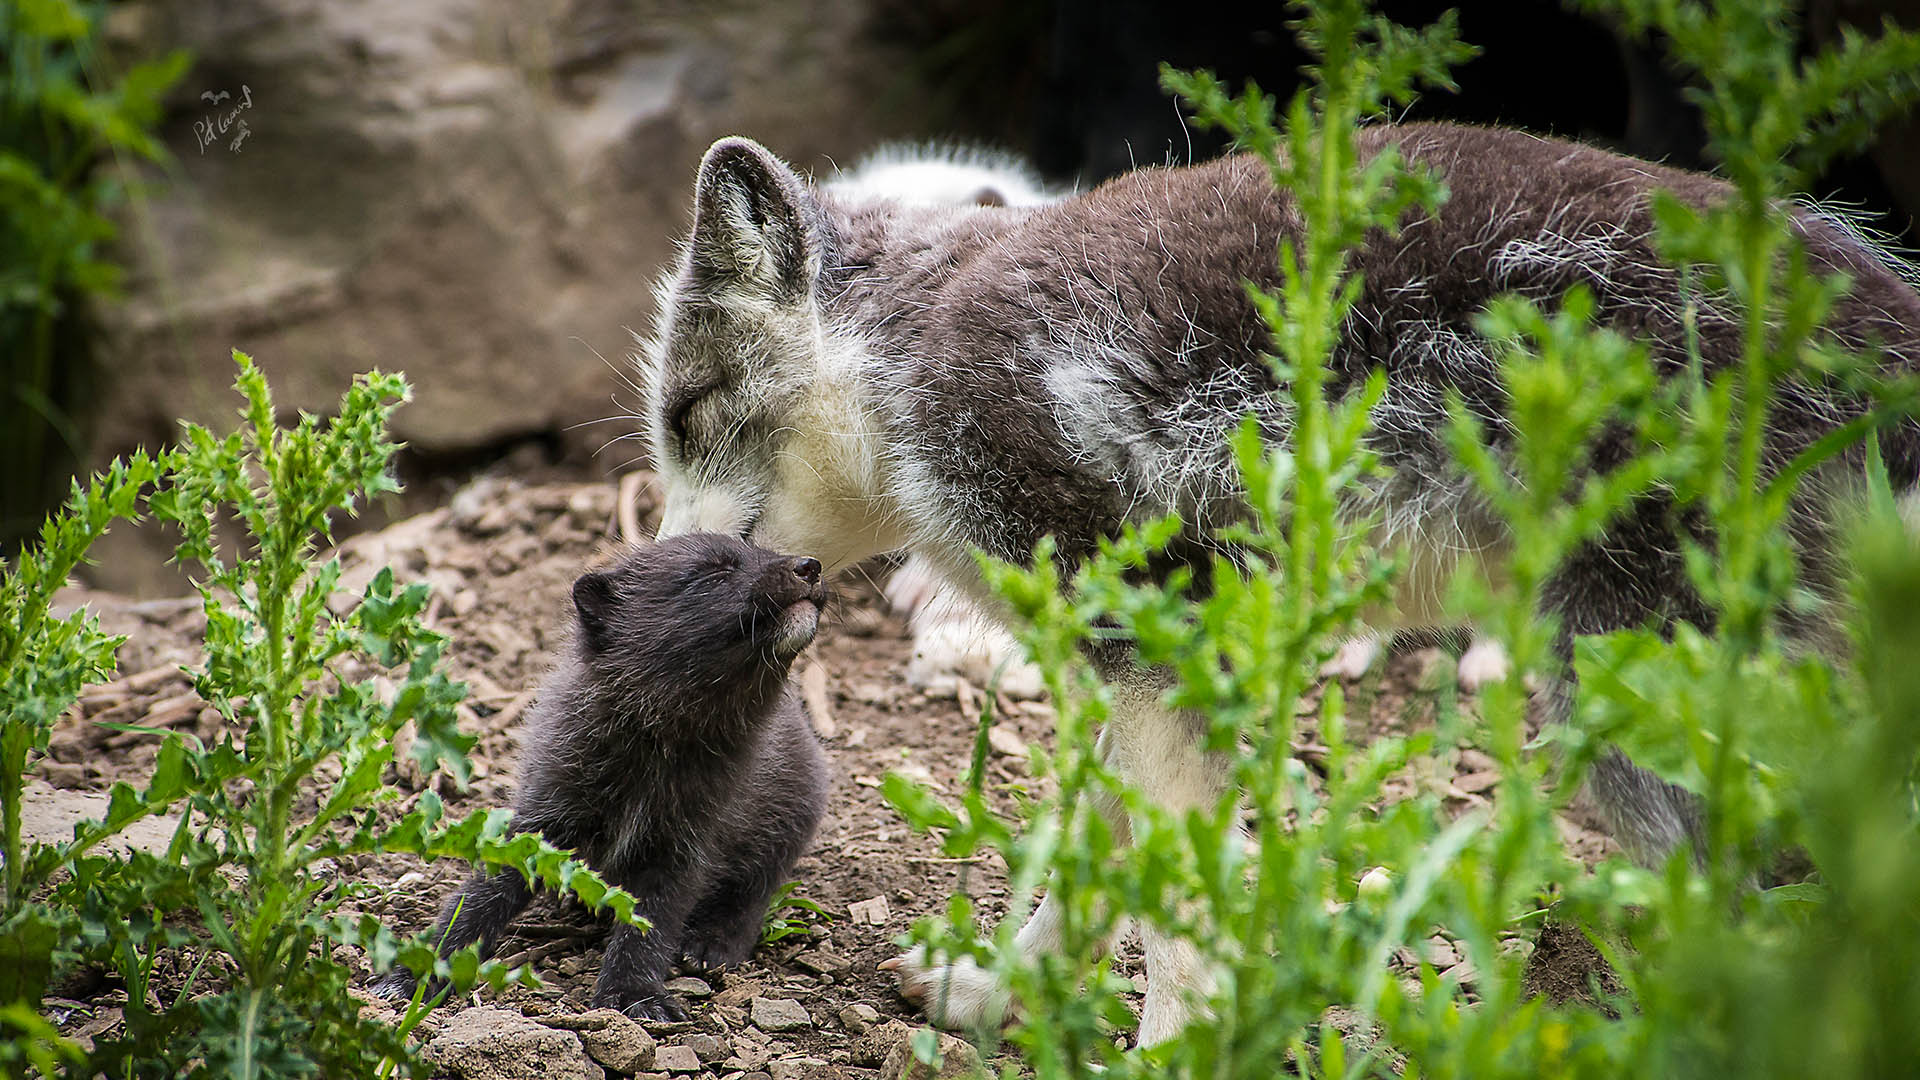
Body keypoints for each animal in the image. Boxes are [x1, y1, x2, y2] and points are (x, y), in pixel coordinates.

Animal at [634, 122, 1920, 1044]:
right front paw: (1000, 994)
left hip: (1632, 697)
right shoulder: (1144, 664)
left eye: (688, 414)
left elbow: (1175, 891)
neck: (910, 351)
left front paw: (1169, 1050)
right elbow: (1107, 848)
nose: (642, 572)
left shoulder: (1156, 642)